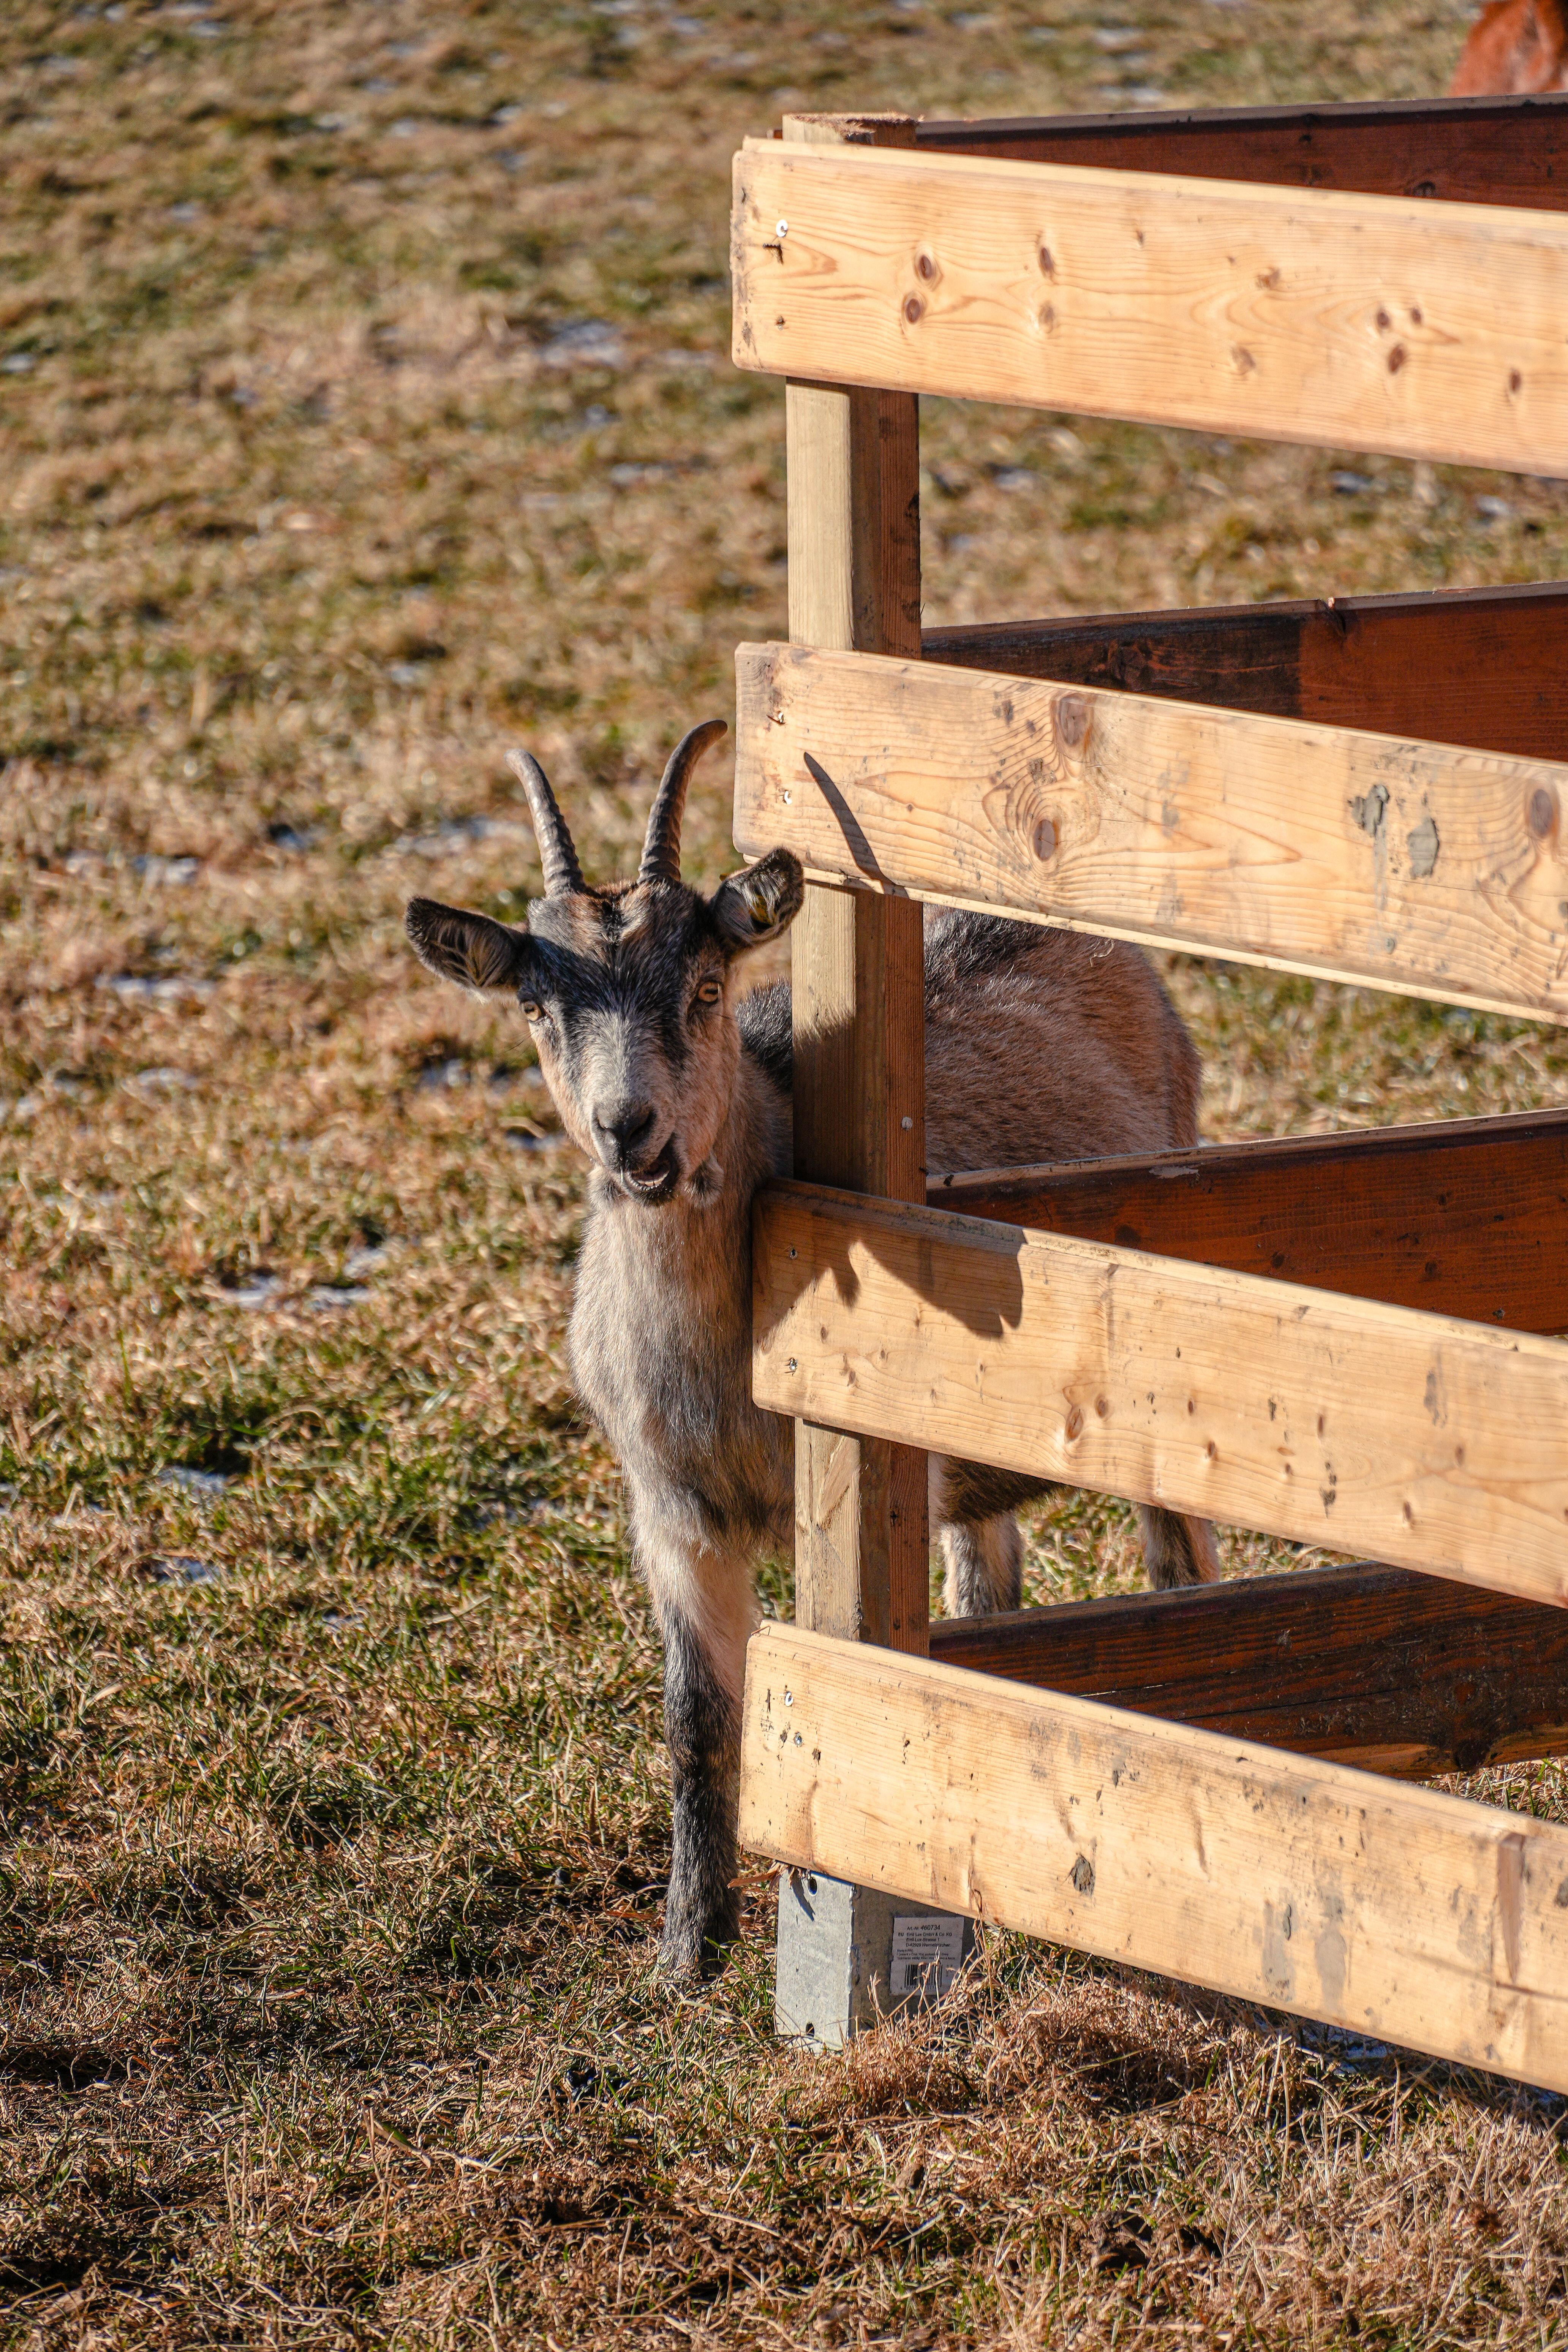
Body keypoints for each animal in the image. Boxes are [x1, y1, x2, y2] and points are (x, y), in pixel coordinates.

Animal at [406, 720, 1218, 1976]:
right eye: (538, 1011)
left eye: (703, 986)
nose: (629, 1131)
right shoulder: (670, 1515)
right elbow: (697, 1720)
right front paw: (686, 1954)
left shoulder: (871, 1483)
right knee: (991, 1580)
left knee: (1170, 1558)